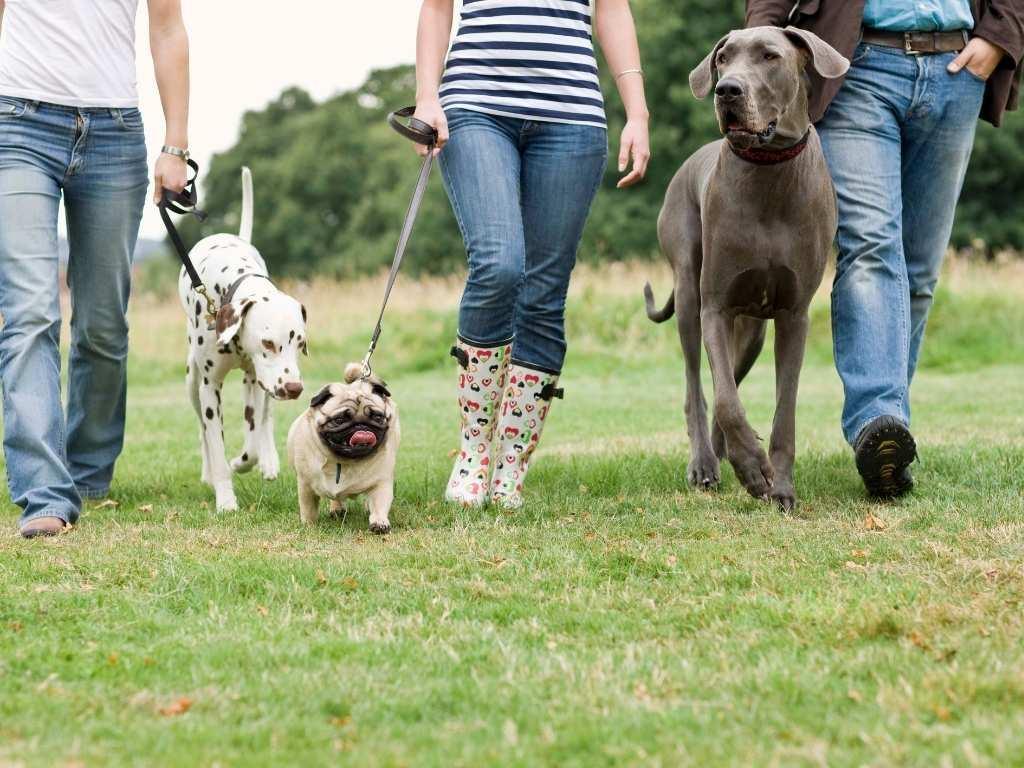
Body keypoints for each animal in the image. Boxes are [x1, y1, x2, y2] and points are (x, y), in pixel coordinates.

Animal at [179, 167, 307, 512]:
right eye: (268, 343)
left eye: (299, 344)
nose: (294, 388)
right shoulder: (210, 388)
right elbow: (214, 441)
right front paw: (225, 498)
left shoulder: (256, 380)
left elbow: (251, 442)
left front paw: (245, 461)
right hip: (192, 382)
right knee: (201, 429)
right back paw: (208, 472)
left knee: (265, 419)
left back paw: (270, 460)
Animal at [288, 364, 403, 532]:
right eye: (339, 420)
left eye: (377, 417)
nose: (361, 426)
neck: (343, 461)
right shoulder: (305, 485)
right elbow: (308, 508)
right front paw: (308, 525)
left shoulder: (381, 482)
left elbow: (379, 504)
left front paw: (379, 522)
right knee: (337, 499)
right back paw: (337, 509)